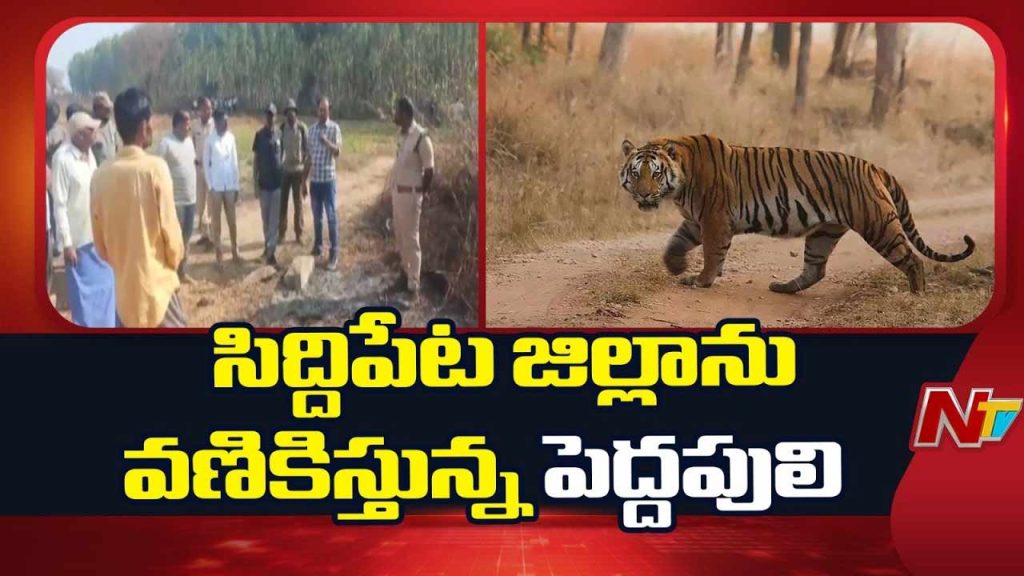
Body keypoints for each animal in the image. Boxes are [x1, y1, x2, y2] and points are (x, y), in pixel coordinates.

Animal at [618, 134, 975, 294]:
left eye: (656, 173)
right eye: (636, 173)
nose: (644, 194)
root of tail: (874, 166)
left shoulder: (714, 219)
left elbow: (711, 254)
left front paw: (701, 280)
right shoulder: (697, 220)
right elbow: (675, 243)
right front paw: (675, 266)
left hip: (879, 225)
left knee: (912, 259)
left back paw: (916, 295)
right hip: (824, 232)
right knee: (815, 269)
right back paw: (784, 287)